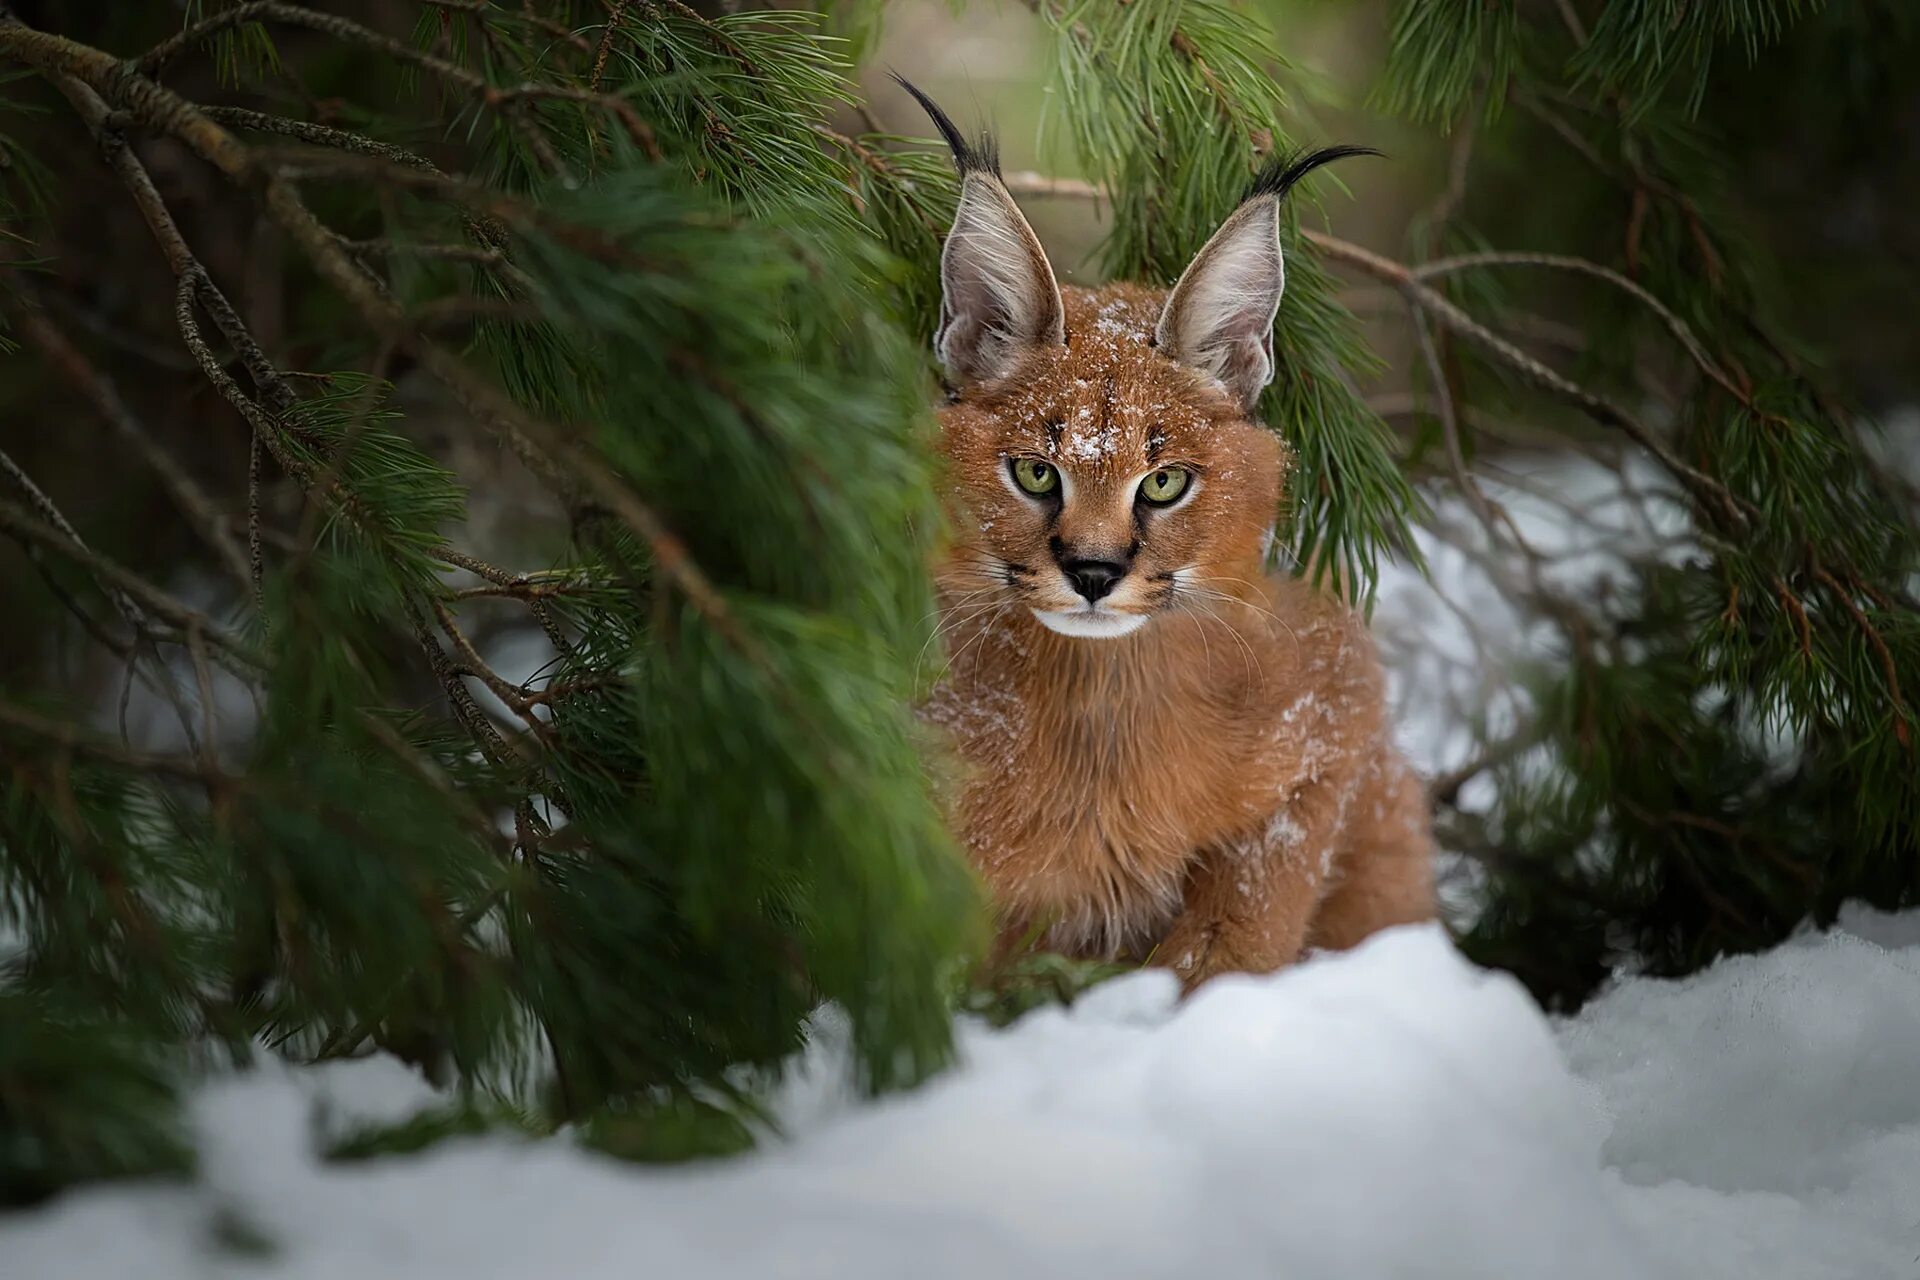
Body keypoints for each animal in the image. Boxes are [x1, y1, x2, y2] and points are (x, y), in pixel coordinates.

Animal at [902, 80, 1443, 990]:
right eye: (1036, 473)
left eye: (1164, 483)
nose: (1092, 572)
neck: (1100, 704)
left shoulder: (1334, 710)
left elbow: (1245, 919)